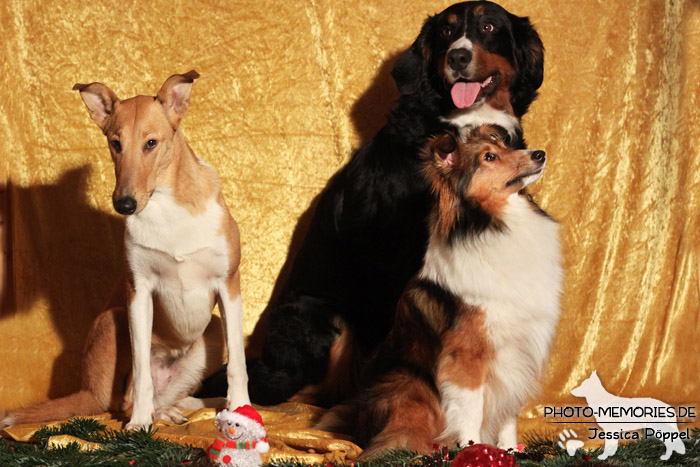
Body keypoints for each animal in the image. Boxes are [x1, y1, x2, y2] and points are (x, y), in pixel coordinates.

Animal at [1, 70, 249, 432]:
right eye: (115, 144)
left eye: (151, 143)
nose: (125, 205)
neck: (166, 205)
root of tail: (90, 390)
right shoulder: (138, 291)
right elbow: (142, 371)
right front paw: (140, 423)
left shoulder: (229, 285)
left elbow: (238, 364)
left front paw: (243, 410)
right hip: (112, 318)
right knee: (125, 397)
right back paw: (157, 413)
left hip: (212, 328)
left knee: (173, 394)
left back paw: (201, 406)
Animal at [197, 0, 548, 406]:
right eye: (446, 31)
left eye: (488, 26)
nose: (458, 56)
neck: (461, 123)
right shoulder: (397, 257)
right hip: (322, 316)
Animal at [318, 124, 564, 458]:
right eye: (489, 157)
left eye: (506, 146)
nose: (539, 154)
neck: (494, 223)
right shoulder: (467, 355)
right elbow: (471, 411)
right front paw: (473, 450)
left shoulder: (517, 352)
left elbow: (508, 415)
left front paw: (511, 452)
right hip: (408, 384)